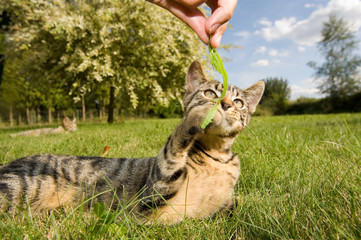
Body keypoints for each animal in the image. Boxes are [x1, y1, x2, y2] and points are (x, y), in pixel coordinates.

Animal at [0, 60, 264, 225]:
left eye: (239, 102)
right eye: (210, 93)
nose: (225, 104)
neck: (216, 156)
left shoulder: (223, 205)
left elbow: (245, 203)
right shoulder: (151, 195)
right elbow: (174, 146)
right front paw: (198, 115)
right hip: (17, 187)